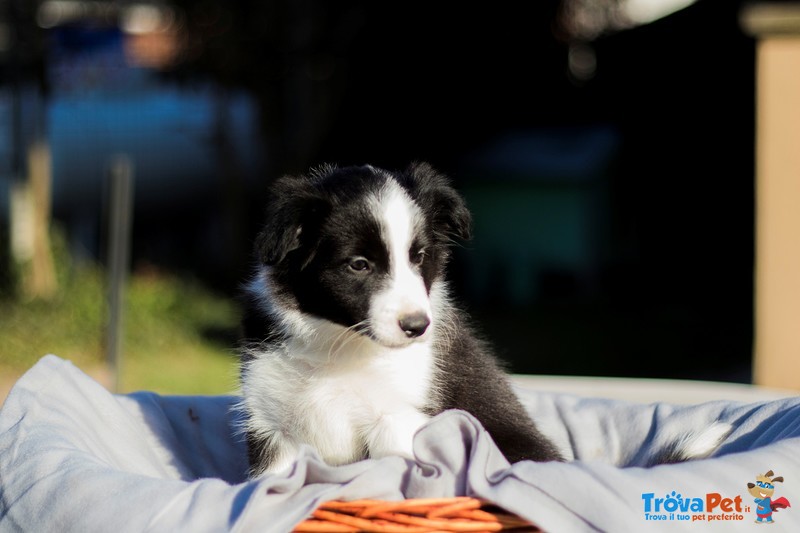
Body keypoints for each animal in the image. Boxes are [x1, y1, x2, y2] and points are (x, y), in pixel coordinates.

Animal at [238, 161, 564, 474]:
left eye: (418, 257)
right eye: (359, 264)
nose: (417, 326)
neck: (339, 345)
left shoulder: (398, 417)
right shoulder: (273, 426)